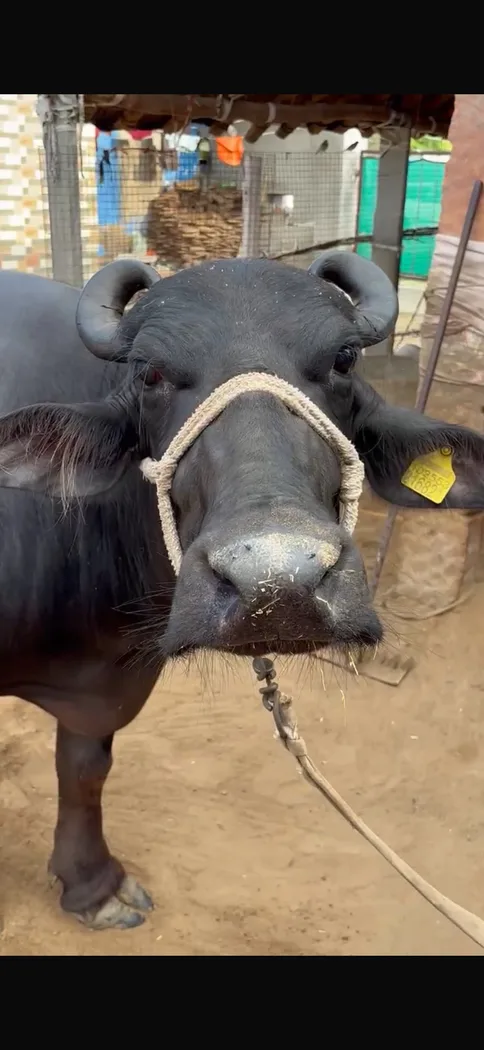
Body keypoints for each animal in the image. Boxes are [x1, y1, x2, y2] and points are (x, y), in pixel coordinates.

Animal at [0, 252, 483, 930]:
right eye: (149, 372)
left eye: (343, 359)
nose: (276, 581)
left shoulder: (102, 689)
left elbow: (86, 766)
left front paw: (92, 886)